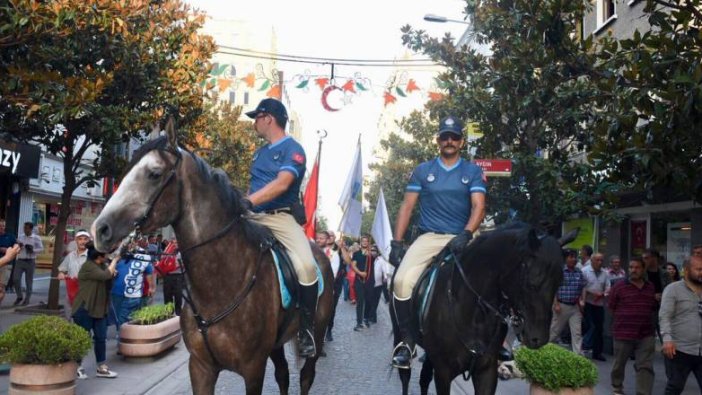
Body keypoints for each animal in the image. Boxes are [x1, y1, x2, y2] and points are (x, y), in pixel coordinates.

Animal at [93, 122, 332, 394]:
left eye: (154, 173)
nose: (101, 230)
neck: (221, 282)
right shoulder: (200, 367)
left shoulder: (253, 369)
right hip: (276, 345)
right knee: (282, 374)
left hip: (316, 335)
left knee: (306, 376)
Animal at [390, 224, 576, 394]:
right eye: (532, 282)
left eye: (560, 282)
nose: (539, 338)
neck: (474, 314)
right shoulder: (443, 372)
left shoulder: (486, 371)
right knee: (406, 376)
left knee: (424, 379)